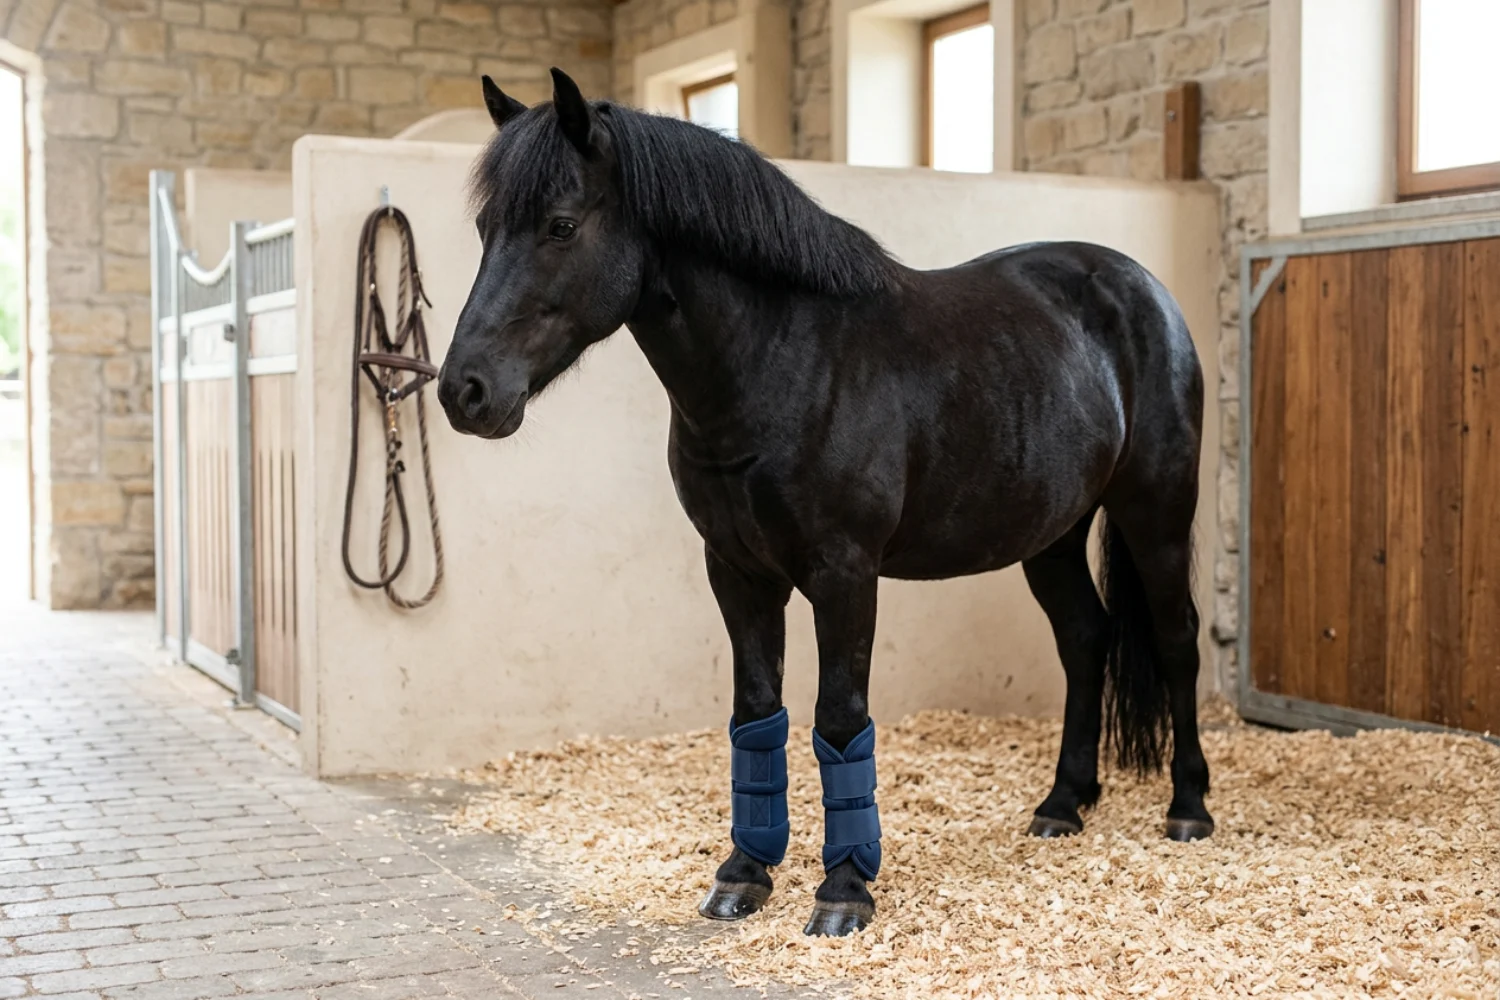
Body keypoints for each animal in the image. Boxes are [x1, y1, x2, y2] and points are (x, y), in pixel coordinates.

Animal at [439, 68, 1212, 938]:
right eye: (485, 227)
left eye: (562, 226)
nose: (464, 391)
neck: (784, 359)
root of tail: (1141, 289)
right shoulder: (736, 571)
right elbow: (756, 712)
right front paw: (743, 876)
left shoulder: (845, 574)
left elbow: (839, 716)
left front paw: (843, 890)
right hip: (1051, 533)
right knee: (1084, 638)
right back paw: (1062, 805)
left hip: (1156, 510)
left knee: (1177, 638)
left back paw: (1188, 807)